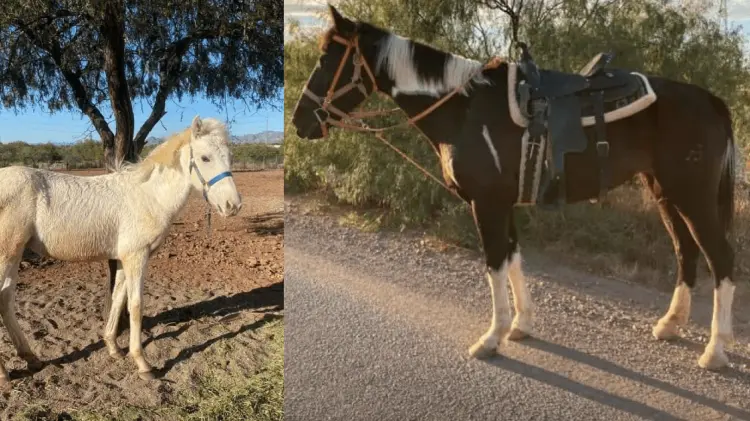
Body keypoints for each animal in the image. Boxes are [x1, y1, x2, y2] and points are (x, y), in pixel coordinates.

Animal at [0, 116, 242, 387]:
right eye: (205, 158)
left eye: (230, 157)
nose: (233, 206)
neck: (147, 196)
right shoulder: (136, 257)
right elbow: (135, 305)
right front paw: (142, 363)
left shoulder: (123, 258)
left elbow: (118, 297)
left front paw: (113, 348)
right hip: (7, 253)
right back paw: (4, 373)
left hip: (15, 255)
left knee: (5, 300)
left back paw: (31, 358)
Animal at [291, 6, 738, 370]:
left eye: (327, 58)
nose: (300, 121)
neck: (464, 109)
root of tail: (713, 101)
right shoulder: (504, 203)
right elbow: (514, 258)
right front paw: (521, 325)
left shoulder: (485, 203)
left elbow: (494, 264)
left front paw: (492, 338)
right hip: (665, 192)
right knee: (686, 251)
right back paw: (671, 325)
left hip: (692, 196)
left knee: (720, 259)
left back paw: (714, 351)